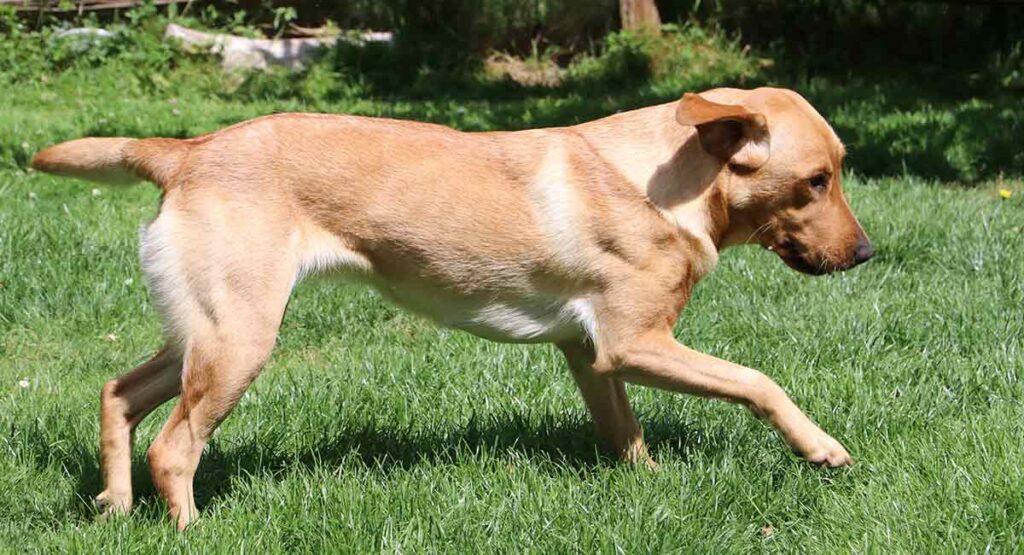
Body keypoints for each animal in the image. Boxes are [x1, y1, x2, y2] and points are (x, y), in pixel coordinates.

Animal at [32, 87, 872, 532]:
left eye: (838, 171)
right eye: (816, 180)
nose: (866, 255)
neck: (670, 179)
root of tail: (187, 149)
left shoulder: (589, 352)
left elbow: (624, 431)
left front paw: (650, 483)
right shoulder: (634, 342)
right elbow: (760, 380)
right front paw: (821, 447)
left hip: (202, 334)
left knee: (118, 394)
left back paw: (113, 505)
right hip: (239, 340)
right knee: (173, 446)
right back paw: (189, 528)